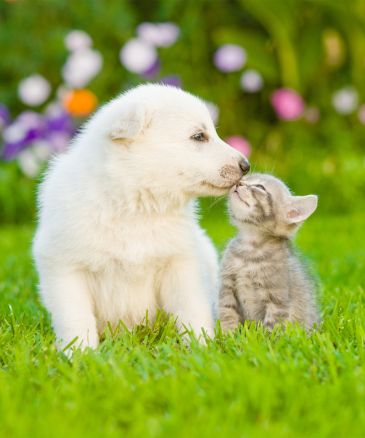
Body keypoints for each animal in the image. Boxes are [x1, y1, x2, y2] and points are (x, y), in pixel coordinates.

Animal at [32, 84, 249, 350]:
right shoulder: (64, 268)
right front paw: (79, 352)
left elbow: (192, 309)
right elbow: (76, 317)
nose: (246, 165)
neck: (135, 205)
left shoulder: (180, 264)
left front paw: (202, 347)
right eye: (199, 136)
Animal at [219, 173, 318, 330]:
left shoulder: (277, 299)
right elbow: (227, 314)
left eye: (260, 187)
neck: (250, 250)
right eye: (244, 178)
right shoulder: (227, 288)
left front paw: (265, 337)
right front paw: (227, 335)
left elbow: (271, 327)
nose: (238, 183)